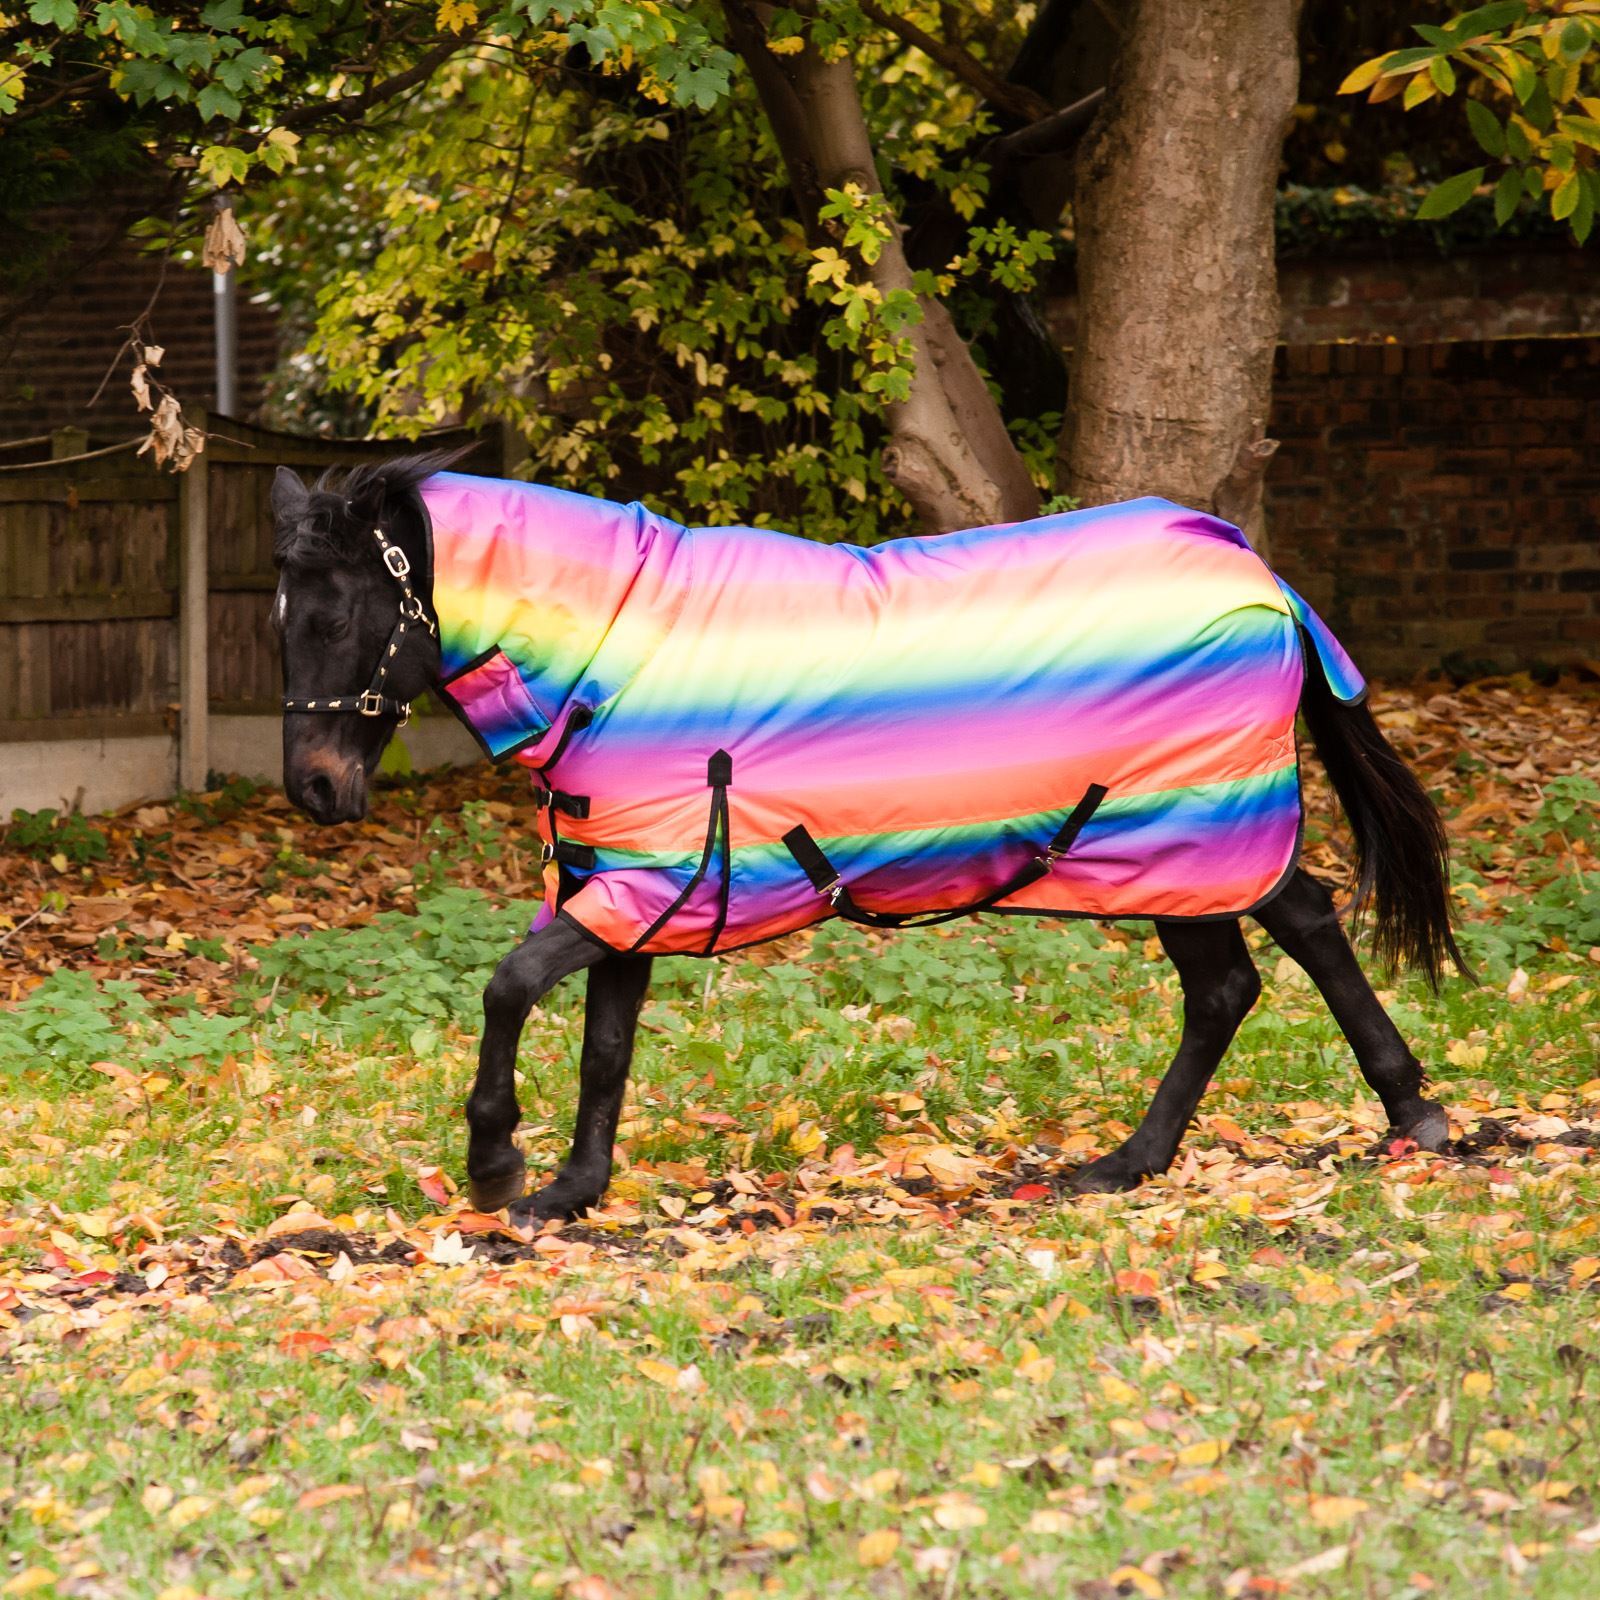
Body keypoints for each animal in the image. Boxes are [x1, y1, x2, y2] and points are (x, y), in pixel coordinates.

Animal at [270, 450, 1466, 1224]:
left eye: (331, 615)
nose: (314, 788)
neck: (612, 644)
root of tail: (1258, 575)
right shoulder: (630, 884)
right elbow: (606, 1042)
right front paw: (572, 1188)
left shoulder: (646, 879)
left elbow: (509, 988)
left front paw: (495, 1164)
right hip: (1172, 853)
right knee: (1251, 967)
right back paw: (1163, 1156)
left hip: (1184, 837)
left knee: (1274, 947)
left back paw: (1385, 1116)